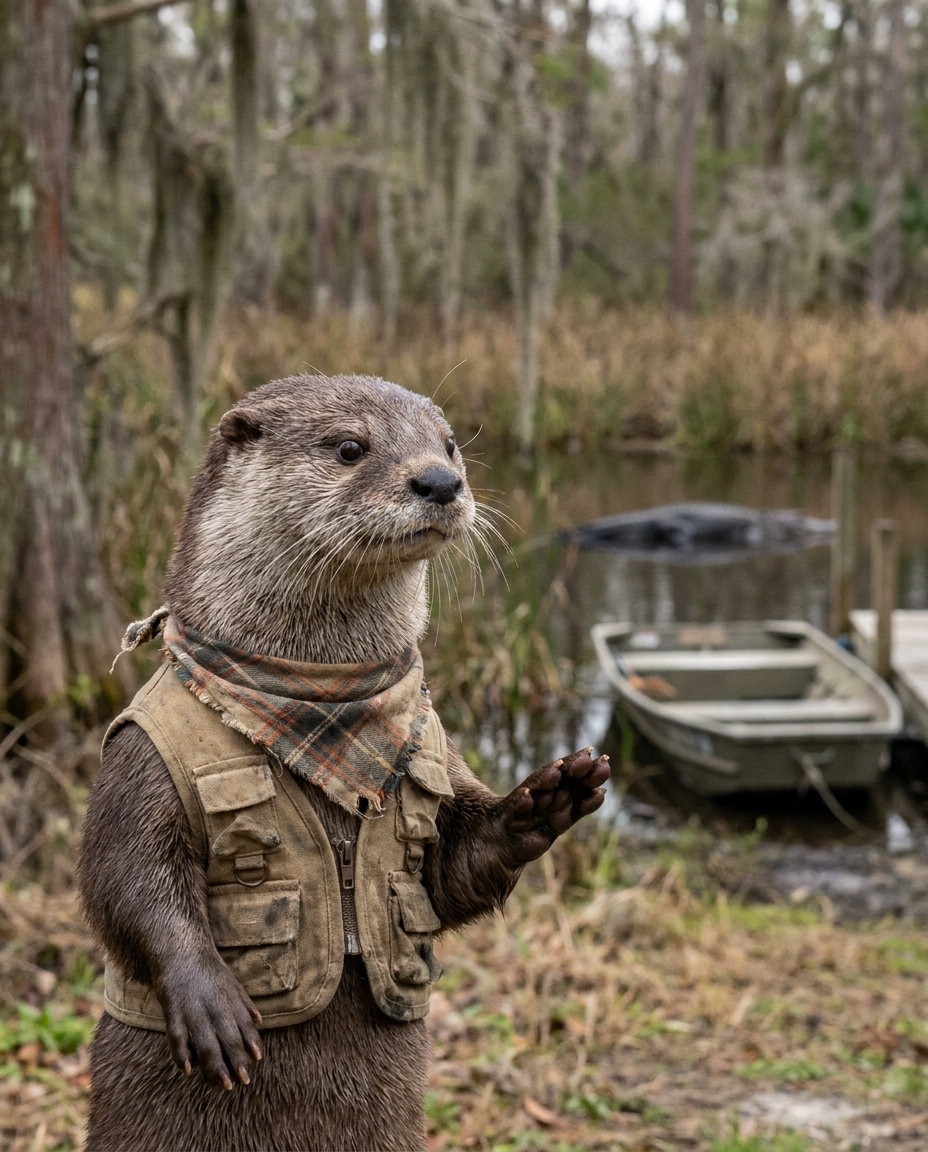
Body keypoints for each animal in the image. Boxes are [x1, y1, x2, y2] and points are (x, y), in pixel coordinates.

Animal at [79, 375, 609, 1152]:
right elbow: (122, 877)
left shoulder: (437, 743)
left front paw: (542, 801)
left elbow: (451, 873)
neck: (323, 698)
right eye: (351, 447)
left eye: (451, 444)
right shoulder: (140, 757)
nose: (440, 480)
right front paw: (211, 1004)